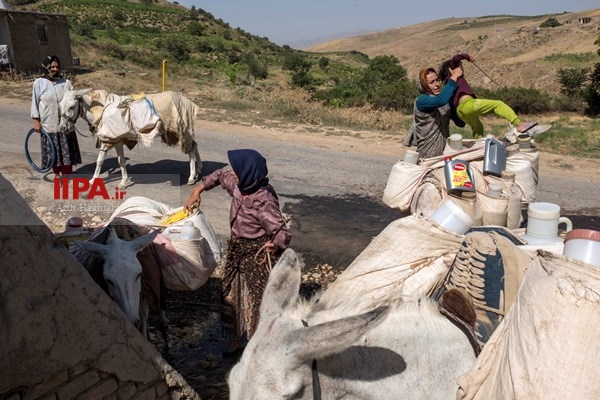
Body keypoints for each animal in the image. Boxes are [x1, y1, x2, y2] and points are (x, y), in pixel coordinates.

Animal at [59, 88, 203, 188]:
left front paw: (99, 181)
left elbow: (107, 161)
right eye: (60, 106)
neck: (101, 110)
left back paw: (191, 177)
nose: (62, 128)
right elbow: (114, 160)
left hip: (181, 129)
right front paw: (117, 182)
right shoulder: (115, 140)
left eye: (72, 107)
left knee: (190, 150)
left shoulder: (111, 139)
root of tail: (185, 100)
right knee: (194, 145)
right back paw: (199, 170)